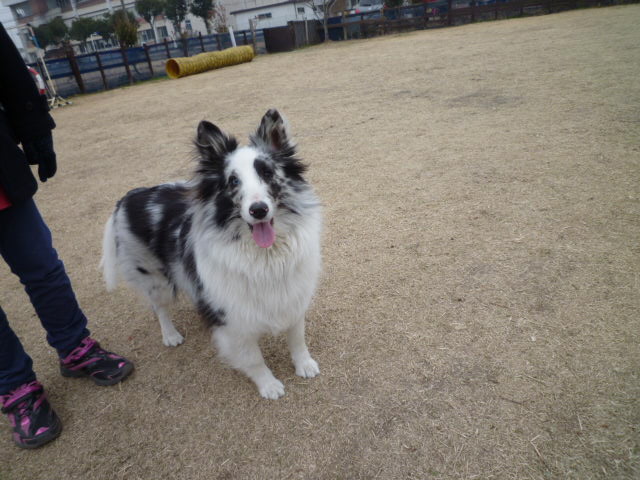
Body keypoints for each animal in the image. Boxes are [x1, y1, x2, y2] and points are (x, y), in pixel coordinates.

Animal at [100, 110, 322, 399]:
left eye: (267, 173)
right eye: (233, 181)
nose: (259, 210)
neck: (265, 256)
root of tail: (127, 197)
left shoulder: (293, 296)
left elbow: (297, 337)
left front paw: (304, 365)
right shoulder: (233, 320)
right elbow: (253, 358)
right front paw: (269, 385)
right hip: (155, 279)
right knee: (159, 307)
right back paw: (170, 335)